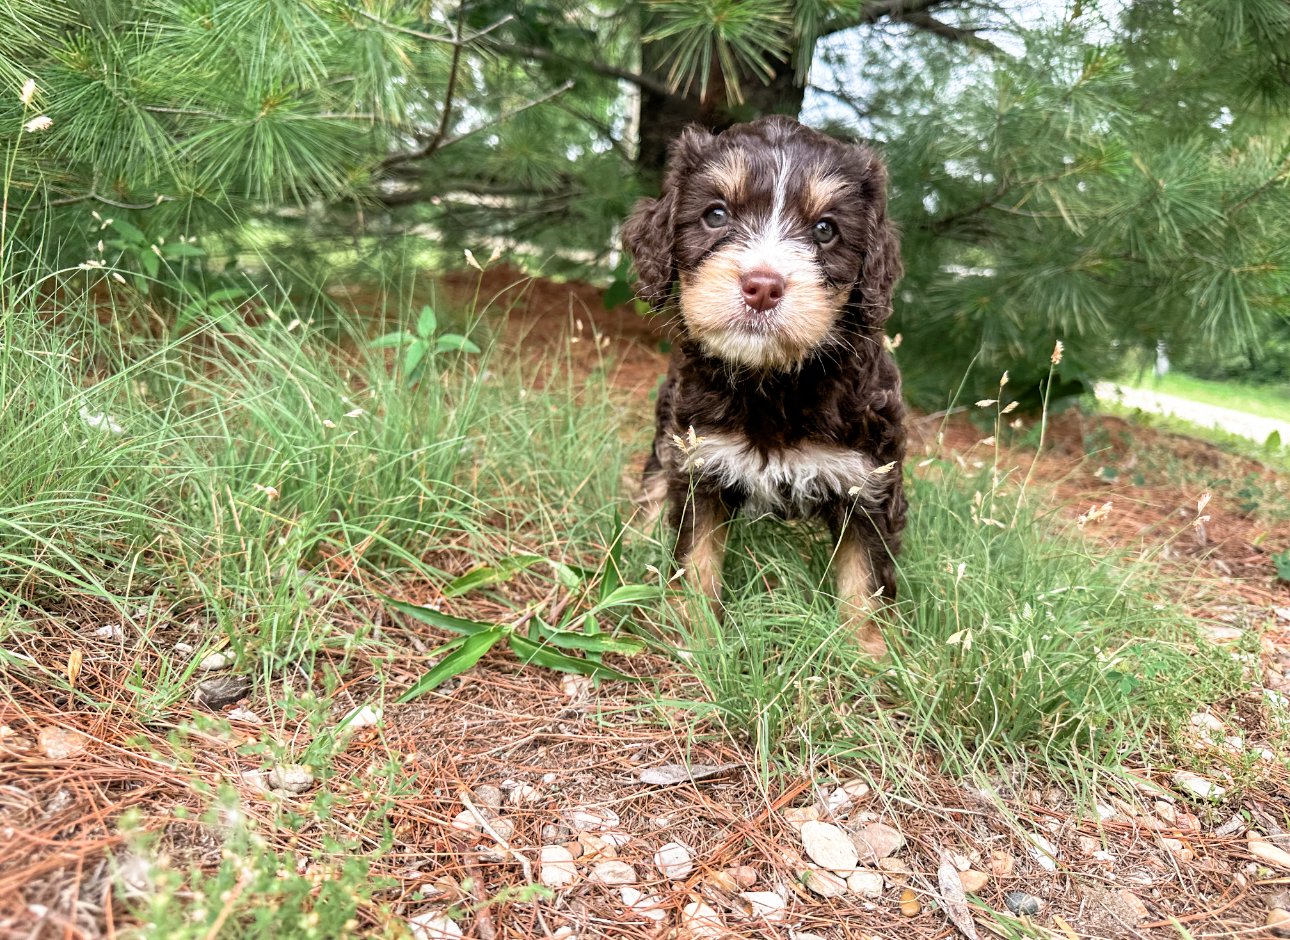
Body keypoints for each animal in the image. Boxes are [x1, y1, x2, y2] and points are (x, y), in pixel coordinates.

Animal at [621, 113, 908, 657]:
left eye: (825, 229)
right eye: (715, 215)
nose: (762, 286)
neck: (773, 382)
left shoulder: (868, 478)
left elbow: (865, 573)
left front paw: (867, 654)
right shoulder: (701, 461)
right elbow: (698, 553)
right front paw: (695, 631)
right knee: (654, 478)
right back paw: (635, 538)